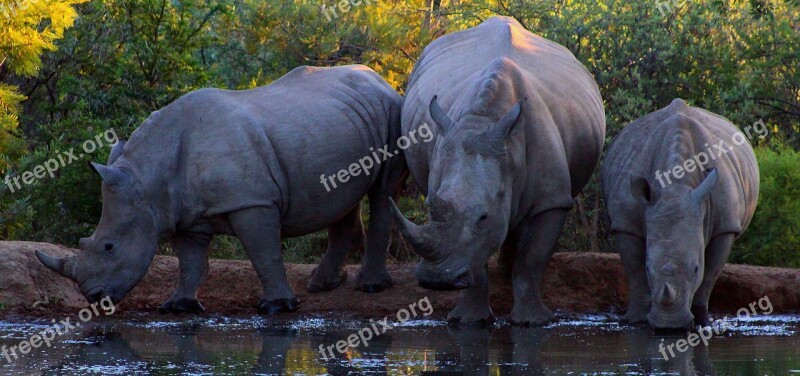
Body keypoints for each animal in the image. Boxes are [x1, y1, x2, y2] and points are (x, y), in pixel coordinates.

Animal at [34, 65, 404, 314]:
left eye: (109, 247)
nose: (93, 298)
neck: (149, 179)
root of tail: (380, 78)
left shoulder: (252, 201)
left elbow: (264, 253)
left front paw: (277, 307)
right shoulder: (181, 214)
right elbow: (191, 262)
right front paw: (178, 306)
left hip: (391, 111)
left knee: (381, 192)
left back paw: (370, 286)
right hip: (340, 120)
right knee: (343, 197)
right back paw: (321, 284)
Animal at [390, 16, 608, 324]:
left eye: (483, 217)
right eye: (430, 206)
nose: (437, 279)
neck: (486, 118)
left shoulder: (552, 200)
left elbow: (532, 258)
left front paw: (532, 321)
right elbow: (476, 261)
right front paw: (469, 321)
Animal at [604, 99, 760, 328]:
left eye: (695, 268)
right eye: (649, 268)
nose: (669, 326)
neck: (675, 186)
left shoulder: (725, 227)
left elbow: (709, 276)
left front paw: (703, 322)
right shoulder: (625, 222)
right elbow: (635, 273)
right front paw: (635, 320)